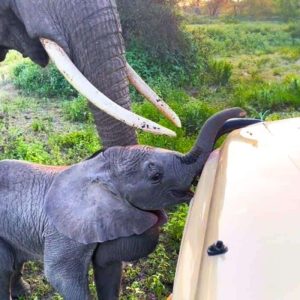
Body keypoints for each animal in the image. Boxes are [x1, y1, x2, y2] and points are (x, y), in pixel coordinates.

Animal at [0, 108, 247, 300]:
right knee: (5, 267)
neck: (96, 170)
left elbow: (107, 265)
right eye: (155, 176)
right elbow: (61, 276)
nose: (245, 114)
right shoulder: (62, 233)